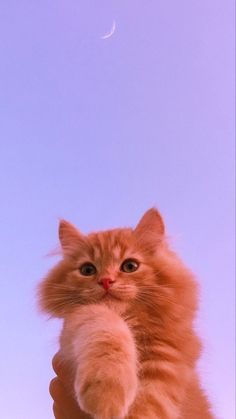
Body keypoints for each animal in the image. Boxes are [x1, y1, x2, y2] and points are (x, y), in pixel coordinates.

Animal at [38, 208, 212, 418]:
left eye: (130, 266)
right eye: (87, 270)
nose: (106, 281)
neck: (129, 320)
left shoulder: (169, 358)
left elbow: (148, 406)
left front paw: (109, 399)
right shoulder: (79, 319)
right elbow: (107, 329)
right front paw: (106, 390)